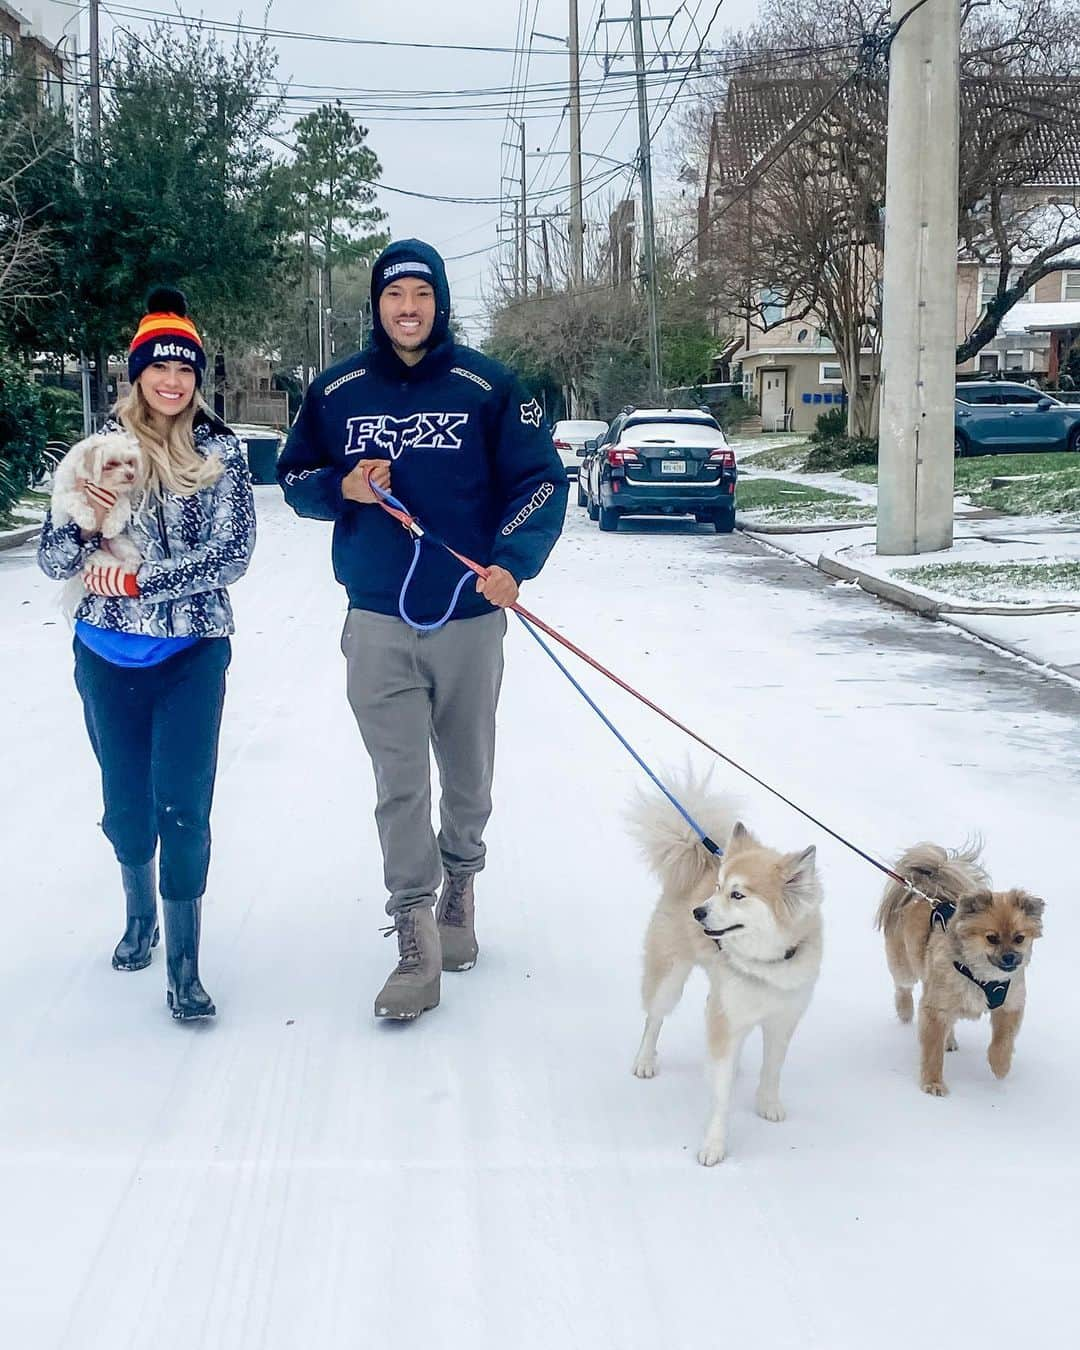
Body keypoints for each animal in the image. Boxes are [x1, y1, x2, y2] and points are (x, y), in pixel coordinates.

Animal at [629, 788, 820, 1166]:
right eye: (717, 887)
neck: (766, 964)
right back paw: (644, 1060)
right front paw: (714, 1146)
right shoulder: (726, 1020)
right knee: (654, 1018)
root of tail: (700, 855)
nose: (698, 911)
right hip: (669, 978)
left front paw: (768, 1104)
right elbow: (720, 1094)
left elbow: (772, 1068)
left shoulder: (782, 1020)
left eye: (737, 894)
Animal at [874, 842, 1047, 1096]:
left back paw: (950, 1040)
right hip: (904, 966)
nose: (1010, 958)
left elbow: (1002, 1041)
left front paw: (1000, 1066)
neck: (982, 978)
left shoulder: (1010, 1005)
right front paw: (933, 1083)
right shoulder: (935, 1008)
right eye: (991, 938)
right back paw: (905, 1010)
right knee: (903, 987)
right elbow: (932, 1051)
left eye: (1019, 938)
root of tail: (924, 891)